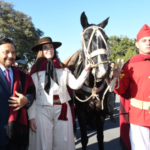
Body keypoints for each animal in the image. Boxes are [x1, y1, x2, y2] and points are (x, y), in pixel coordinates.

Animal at [64, 12, 110, 150]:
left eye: (106, 38)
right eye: (85, 38)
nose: (103, 70)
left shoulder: (101, 111)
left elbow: (100, 137)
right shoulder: (81, 112)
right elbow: (84, 139)